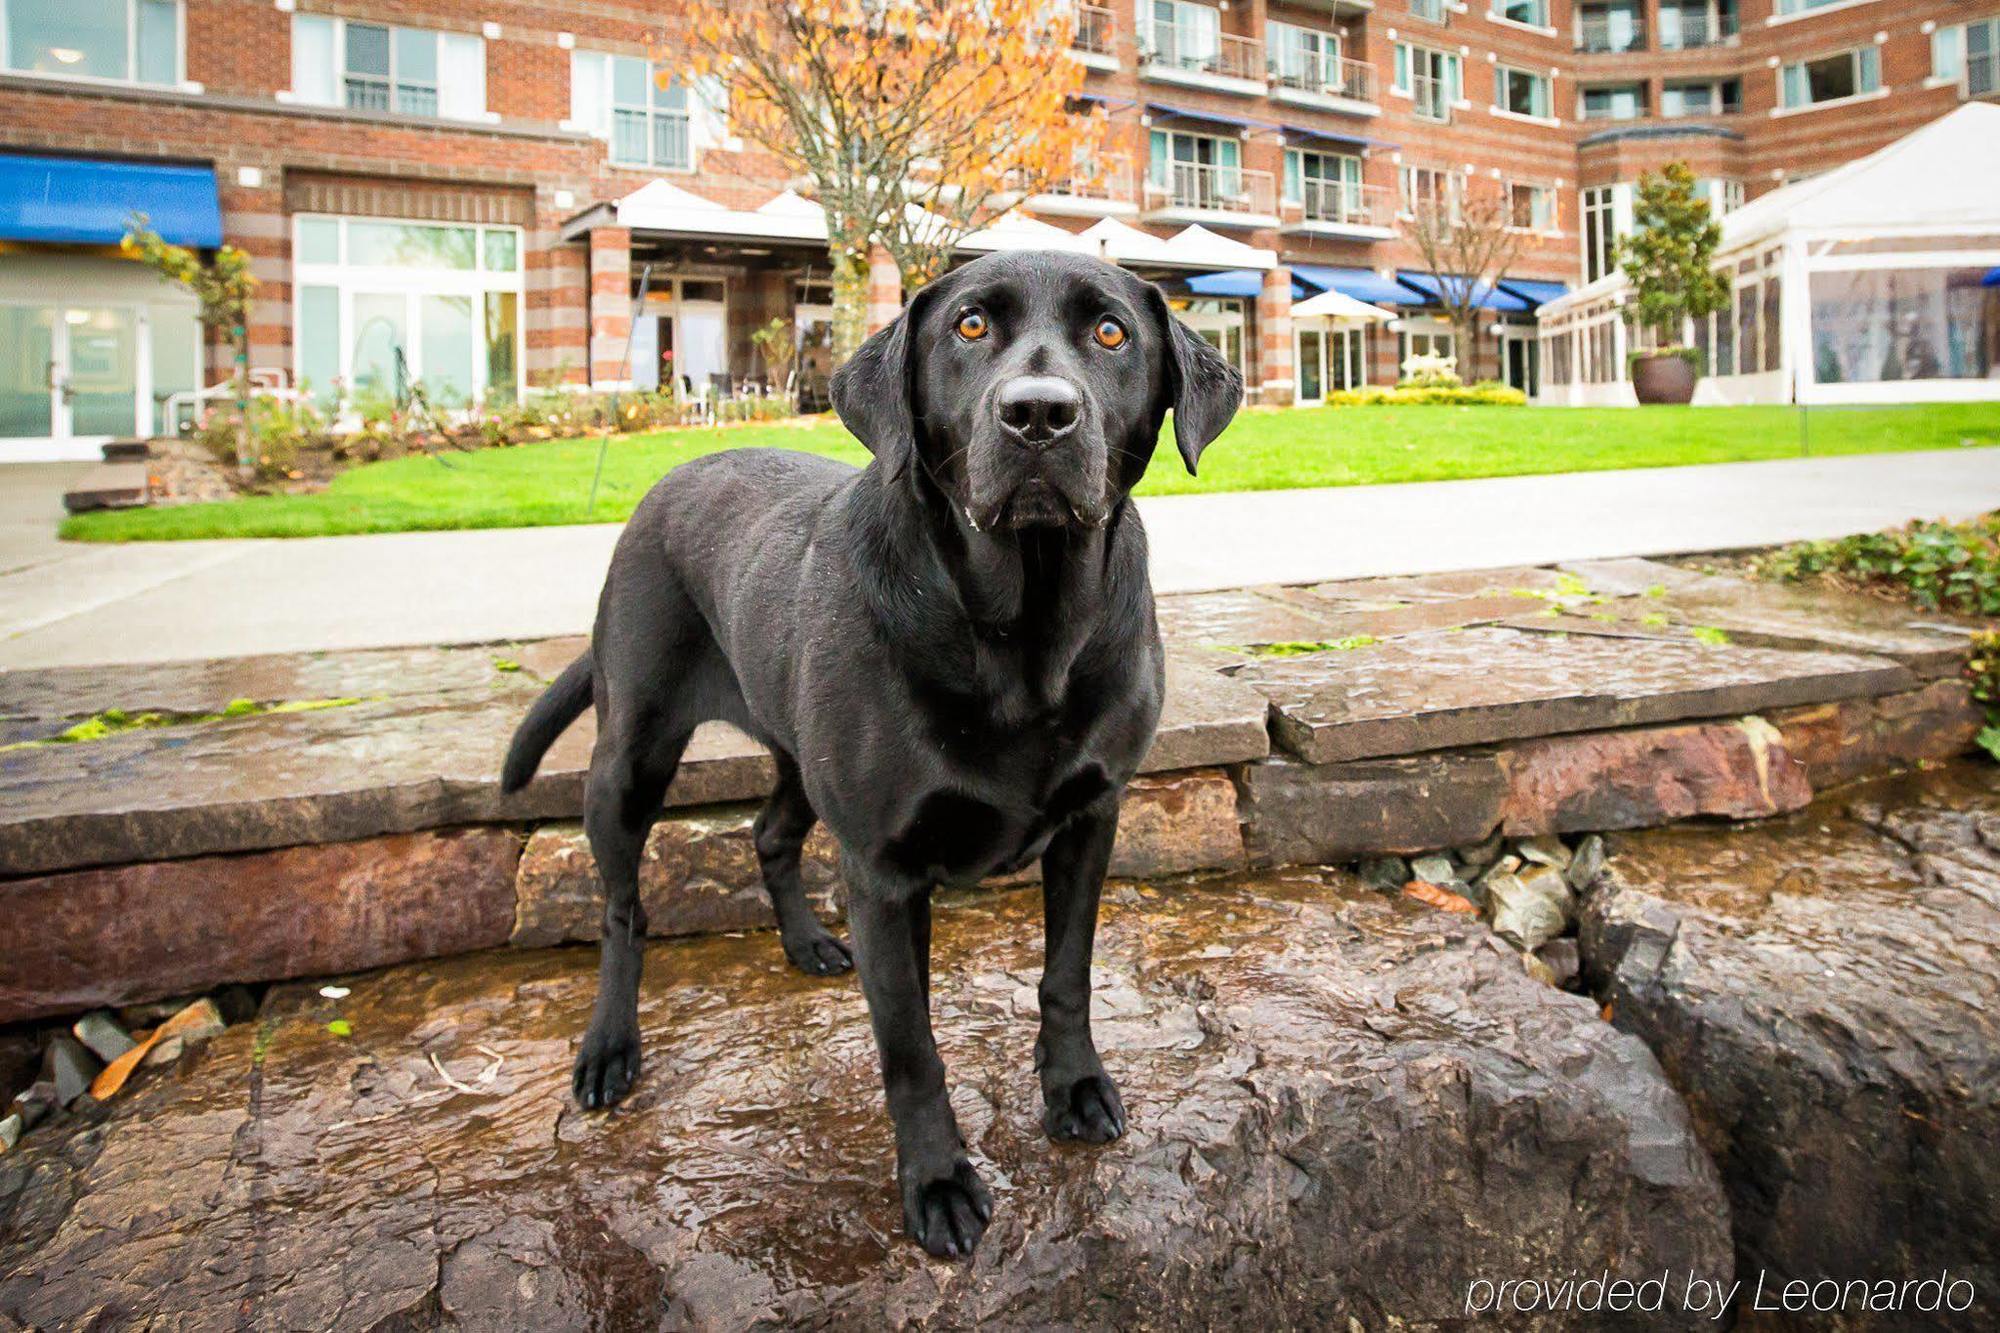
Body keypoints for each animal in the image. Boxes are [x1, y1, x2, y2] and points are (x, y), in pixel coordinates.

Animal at [500, 246, 1232, 1248]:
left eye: (1112, 331)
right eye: (970, 325)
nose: (1038, 413)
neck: (1022, 630)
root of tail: (671, 479)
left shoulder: (1093, 817)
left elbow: (1067, 974)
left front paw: (1075, 1086)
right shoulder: (883, 868)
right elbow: (910, 1043)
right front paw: (937, 1180)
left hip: (796, 755)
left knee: (769, 833)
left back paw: (808, 941)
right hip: (630, 755)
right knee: (622, 909)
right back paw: (610, 1046)